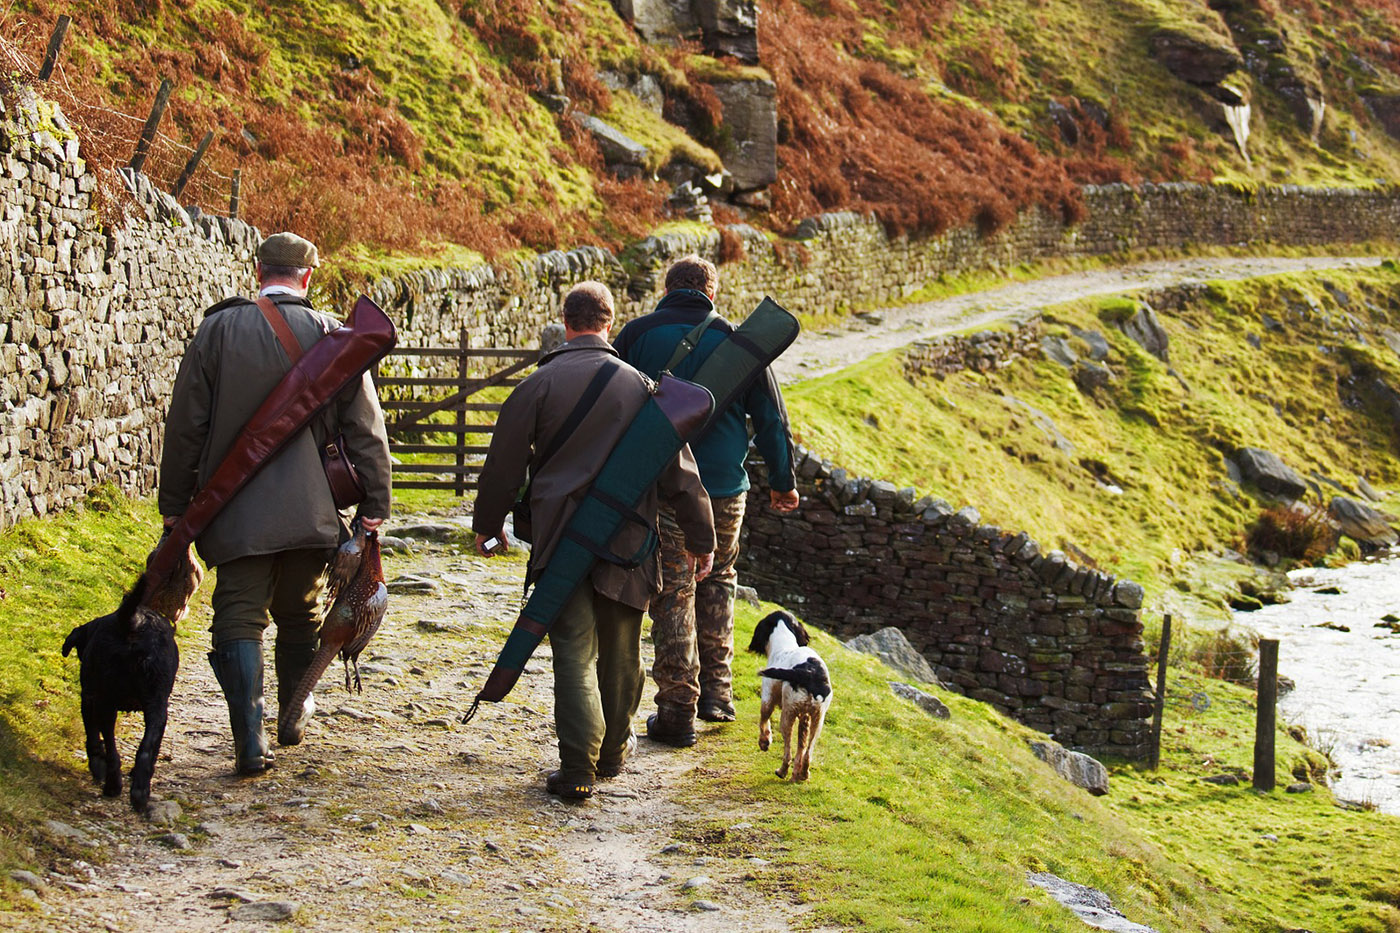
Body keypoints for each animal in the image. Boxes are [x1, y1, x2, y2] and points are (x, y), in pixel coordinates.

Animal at [62, 549, 203, 812]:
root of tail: (132, 622)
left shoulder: (88, 696)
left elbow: (92, 736)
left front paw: (96, 766)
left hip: (105, 701)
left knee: (111, 747)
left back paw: (112, 785)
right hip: (157, 707)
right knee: (146, 751)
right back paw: (139, 792)